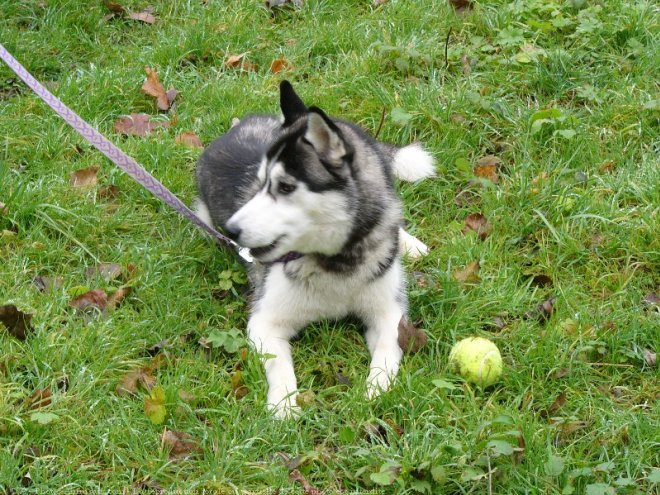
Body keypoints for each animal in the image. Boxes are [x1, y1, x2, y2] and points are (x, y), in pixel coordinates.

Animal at [196, 82, 434, 418]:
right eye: (259, 184)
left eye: (284, 187)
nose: (231, 230)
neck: (336, 263)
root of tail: (237, 126)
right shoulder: (265, 322)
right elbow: (279, 366)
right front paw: (284, 406)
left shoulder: (390, 314)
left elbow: (388, 352)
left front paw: (376, 392)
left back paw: (409, 243)